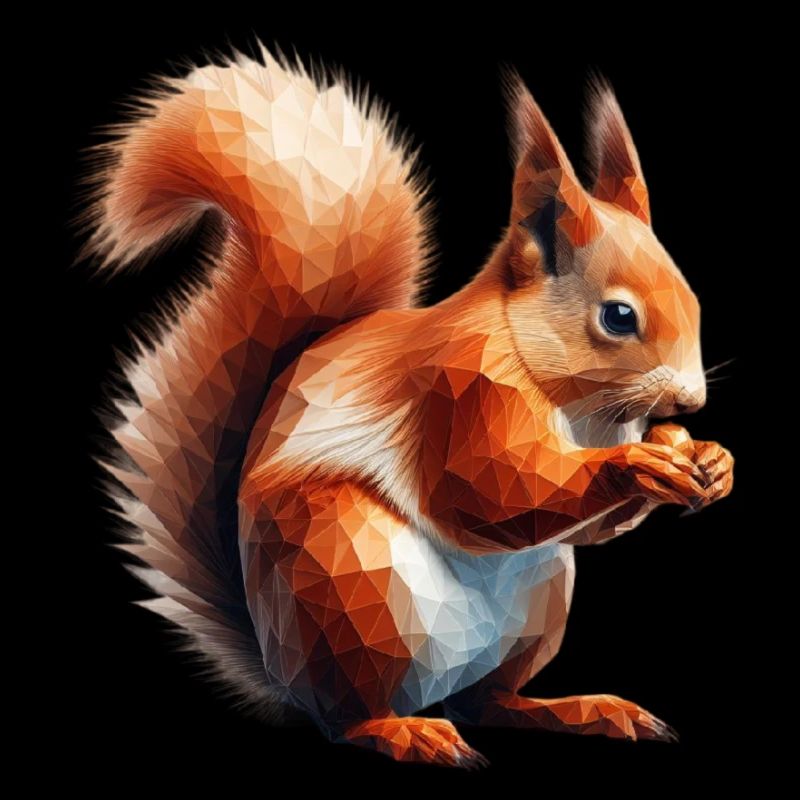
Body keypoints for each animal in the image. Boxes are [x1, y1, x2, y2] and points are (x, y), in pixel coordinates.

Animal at [83, 44, 733, 768]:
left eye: (692, 297)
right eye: (619, 317)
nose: (691, 399)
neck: (575, 399)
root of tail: (280, 669)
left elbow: (585, 529)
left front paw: (708, 460)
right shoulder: (458, 389)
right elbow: (492, 491)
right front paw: (642, 464)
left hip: (539, 602)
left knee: (484, 701)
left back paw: (579, 710)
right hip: (349, 580)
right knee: (349, 716)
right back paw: (404, 731)